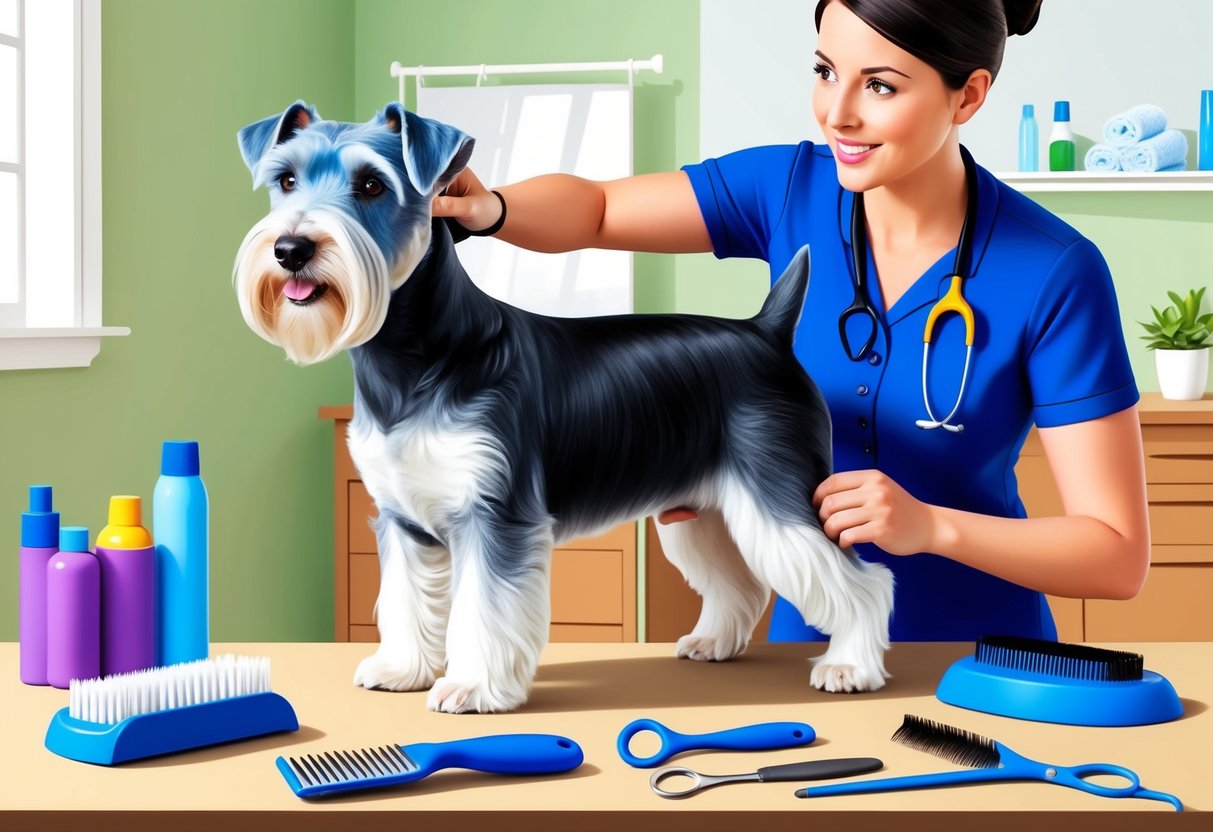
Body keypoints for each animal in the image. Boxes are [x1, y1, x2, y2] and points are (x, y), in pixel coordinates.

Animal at [231, 102, 892, 717]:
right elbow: (406, 597)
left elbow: (482, 607)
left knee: (863, 581)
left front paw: (472, 687)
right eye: (286, 179)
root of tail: (767, 331)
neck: (415, 356)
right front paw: (401, 668)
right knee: (741, 584)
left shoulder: (496, 515)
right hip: (702, 511)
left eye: (371, 184)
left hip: (778, 495)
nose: (290, 248)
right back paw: (713, 643)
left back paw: (850, 667)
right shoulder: (401, 519)